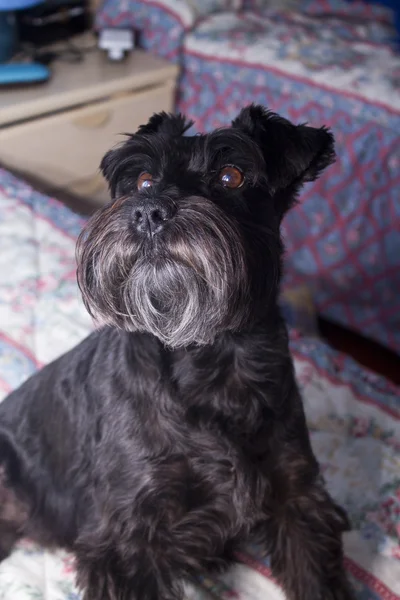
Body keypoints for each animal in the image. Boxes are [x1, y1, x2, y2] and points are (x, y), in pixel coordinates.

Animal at [0, 105, 354, 596]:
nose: (148, 211)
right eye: (144, 180)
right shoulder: (127, 540)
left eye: (231, 176)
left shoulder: (299, 499)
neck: (207, 355)